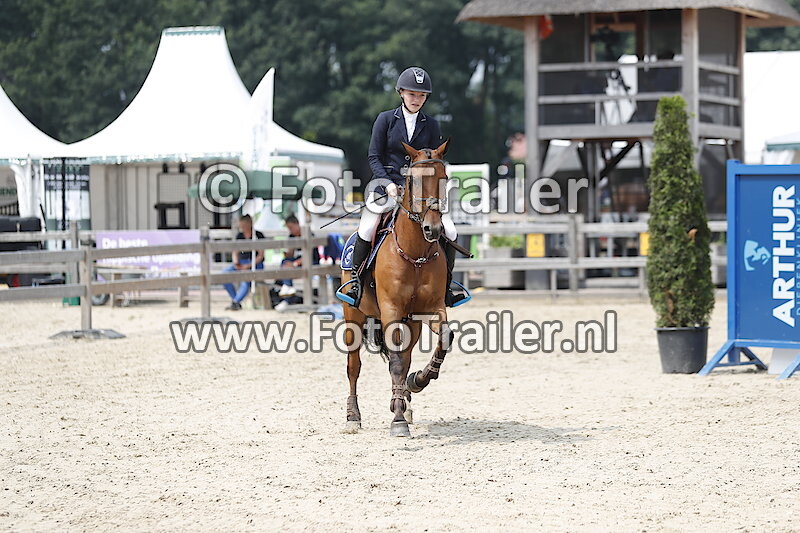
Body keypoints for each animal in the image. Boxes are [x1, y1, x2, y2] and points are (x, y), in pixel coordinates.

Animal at [341, 139, 455, 437]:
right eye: (412, 180)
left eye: (444, 178)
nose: (433, 229)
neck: (415, 254)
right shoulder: (390, 310)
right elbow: (394, 363)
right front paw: (398, 420)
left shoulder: (431, 309)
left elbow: (444, 339)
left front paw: (419, 381)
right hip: (353, 317)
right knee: (354, 366)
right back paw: (353, 417)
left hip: (411, 322)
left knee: (407, 357)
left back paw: (406, 397)